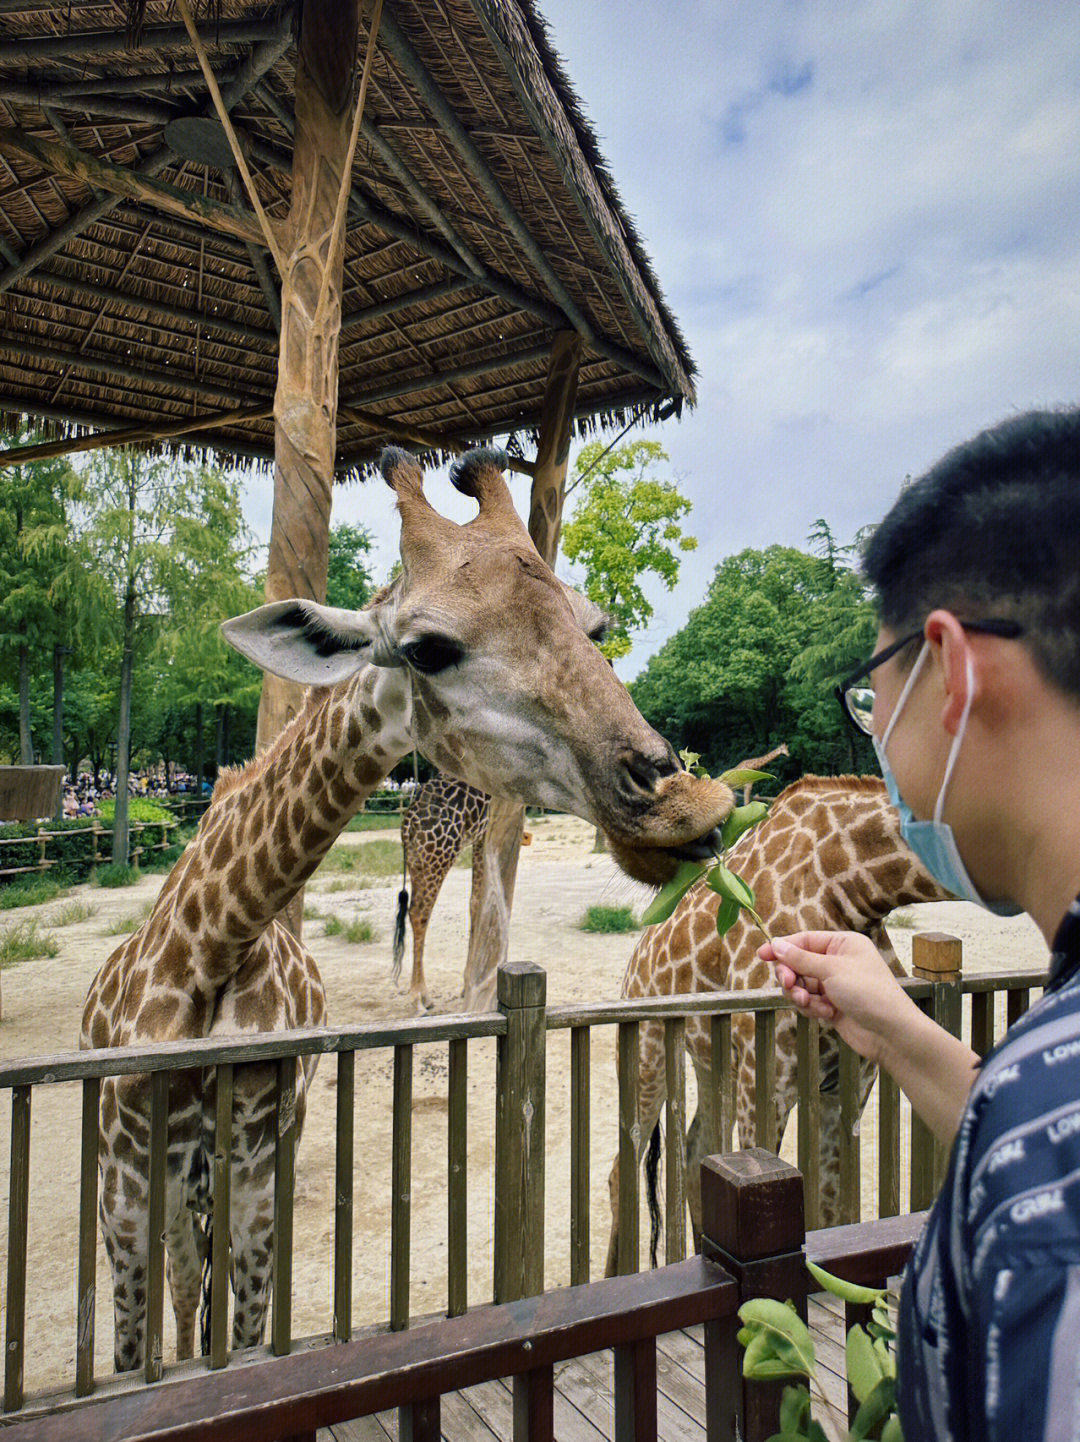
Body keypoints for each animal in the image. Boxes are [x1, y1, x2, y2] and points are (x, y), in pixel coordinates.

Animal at [392, 778, 536, 1015]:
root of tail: (407, 827)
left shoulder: (480, 836)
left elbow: (474, 902)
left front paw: (467, 985)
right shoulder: (484, 834)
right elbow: (481, 900)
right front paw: (472, 983)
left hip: (417, 862)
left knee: (412, 911)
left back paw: (424, 996)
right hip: (437, 859)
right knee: (420, 913)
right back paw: (418, 998)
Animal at [602, 778, 945, 1274]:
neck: (850, 889)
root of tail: (634, 960)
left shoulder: (849, 1083)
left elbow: (829, 1212)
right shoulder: (767, 1077)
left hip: (713, 1064)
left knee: (694, 1150)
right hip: (648, 1051)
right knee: (621, 1172)